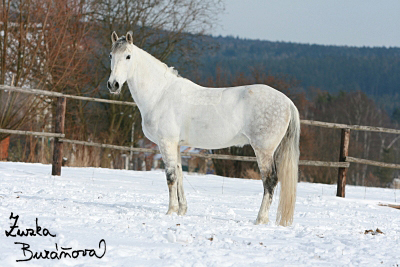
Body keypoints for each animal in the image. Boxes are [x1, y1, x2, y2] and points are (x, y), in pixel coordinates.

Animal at [107, 32, 300, 227]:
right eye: (110, 55)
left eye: (128, 56)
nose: (113, 84)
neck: (161, 93)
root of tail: (287, 102)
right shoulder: (177, 145)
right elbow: (180, 175)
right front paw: (181, 211)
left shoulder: (166, 142)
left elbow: (171, 176)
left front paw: (171, 211)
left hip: (264, 150)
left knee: (270, 180)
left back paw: (260, 219)